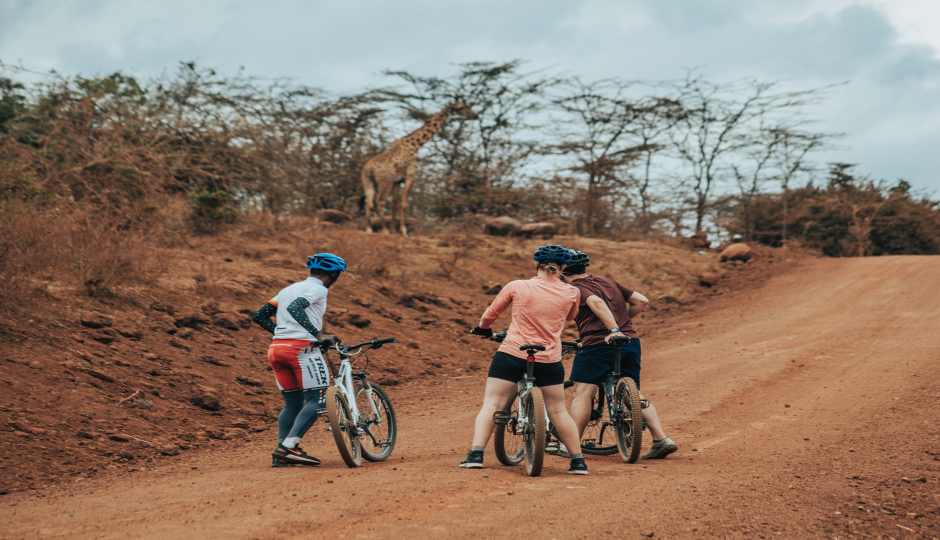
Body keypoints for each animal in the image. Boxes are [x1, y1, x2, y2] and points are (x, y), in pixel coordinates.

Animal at [362, 101, 478, 236]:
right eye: (462, 107)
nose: (475, 115)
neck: (414, 146)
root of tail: (369, 169)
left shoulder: (396, 181)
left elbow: (394, 205)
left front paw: (394, 230)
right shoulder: (410, 176)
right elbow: (403, 203)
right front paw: (403, 231)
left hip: (368, 182)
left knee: (368, 202)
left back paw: (369, 229)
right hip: (384, 183)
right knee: (379, 202)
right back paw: (384, 230)